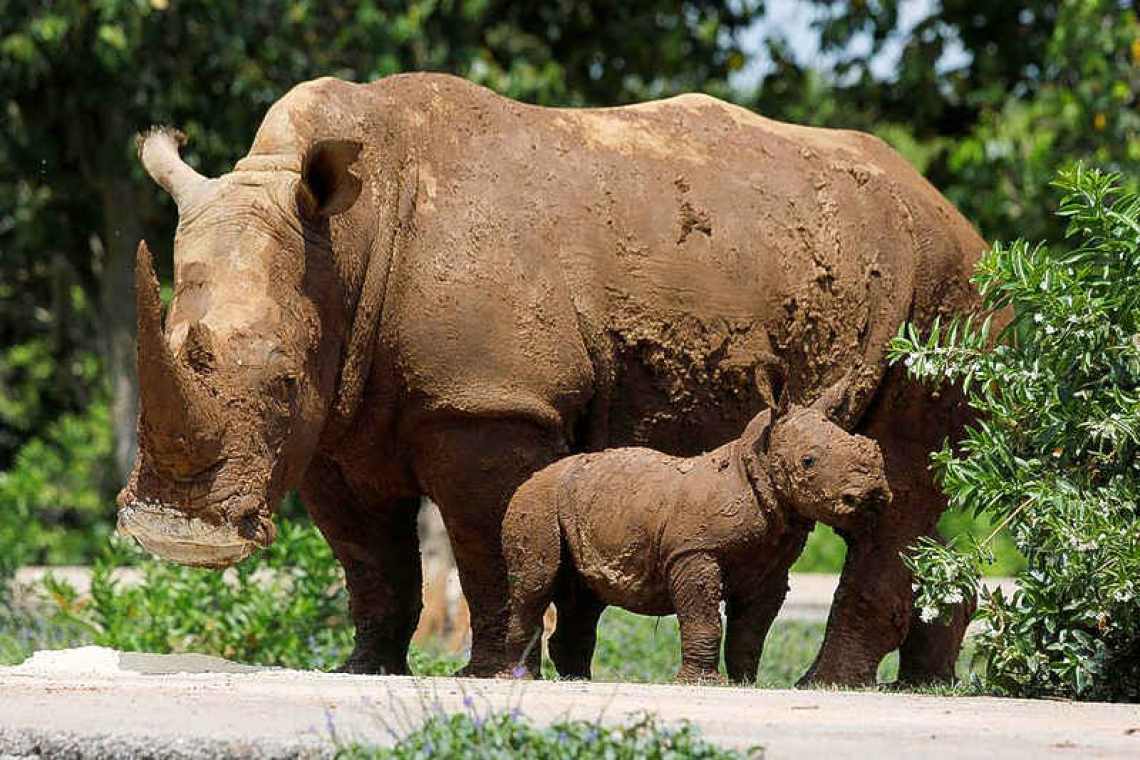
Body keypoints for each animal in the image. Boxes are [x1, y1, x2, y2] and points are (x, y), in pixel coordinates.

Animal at [506, 403, 889, 683]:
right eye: (808, 461)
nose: (872, 494)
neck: (759, 465)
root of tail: (530, 480)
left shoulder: (770, 568)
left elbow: (751, 632)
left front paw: (745, 683)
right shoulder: (693, 552)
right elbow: (703, 618)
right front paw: (702, 683)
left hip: (584, 504)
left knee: (585, 599)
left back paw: (577, 680)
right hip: (536, 501)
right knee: (536, 584)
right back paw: (521, 679)